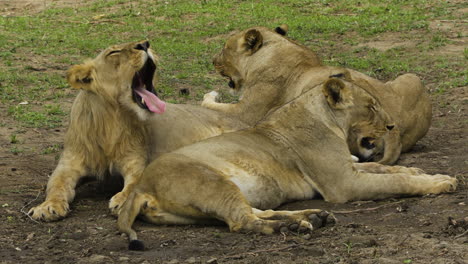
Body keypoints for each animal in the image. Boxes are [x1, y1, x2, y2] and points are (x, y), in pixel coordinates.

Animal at [118, 73, 458, 250]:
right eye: (371, 107)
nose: (391, 126)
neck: (327, 119)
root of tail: (140, 187)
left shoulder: (346, 168)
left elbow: (384, 167)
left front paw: (417, 169)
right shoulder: (342, 184)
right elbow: (393, 180)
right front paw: (441, 181)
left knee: (256, 212)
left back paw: (312, 218)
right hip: (213, 182)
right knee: (243, 222)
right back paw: (295, 227)